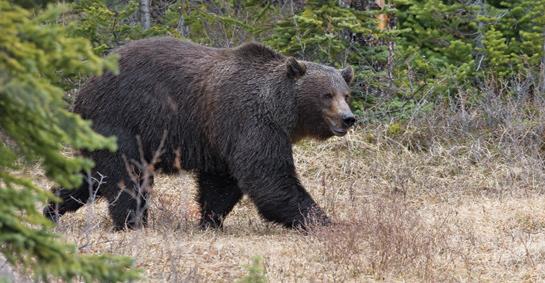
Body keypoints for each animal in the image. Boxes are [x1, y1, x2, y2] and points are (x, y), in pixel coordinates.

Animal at [43, 36, 356, 231]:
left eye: (346, 94)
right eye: (326, 95)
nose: (348, 118)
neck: (280, 112)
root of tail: (84, 86)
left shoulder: (222, 138)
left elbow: (222, 184)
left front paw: (210, 220)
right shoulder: (249, 122)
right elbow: (269, 178)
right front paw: (324, 221)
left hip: (101, 131)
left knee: (92, 175)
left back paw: (51, 209)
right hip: (122, 120)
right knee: (129, 177)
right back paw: (132, 222)